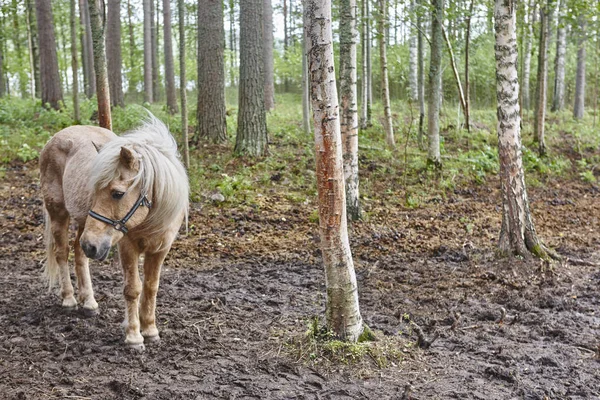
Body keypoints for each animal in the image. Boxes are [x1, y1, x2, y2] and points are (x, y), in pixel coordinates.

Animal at [39, 116, 188, 350]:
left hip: (85, 227)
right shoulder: (127, 247)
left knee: (79, 254)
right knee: (62, 253)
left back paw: (89, 303)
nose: (92, 245)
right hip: (59, 214)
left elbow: (151, 287)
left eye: (117, 193)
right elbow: (133, 289)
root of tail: (57, 136)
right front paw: (134, 336)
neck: (150, 218)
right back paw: (69, 299)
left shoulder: (160, 249)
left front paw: (150, 330)